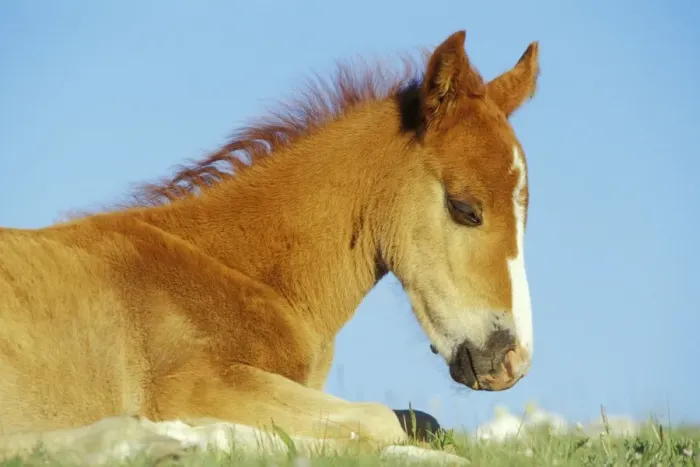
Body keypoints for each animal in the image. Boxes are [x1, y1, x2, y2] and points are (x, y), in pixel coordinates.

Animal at [0, 29, 540, 460]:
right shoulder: (195, 384)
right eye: (465, 208)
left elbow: (422, 422)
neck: (241, 272)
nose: (513, 362)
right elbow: (379, 422)